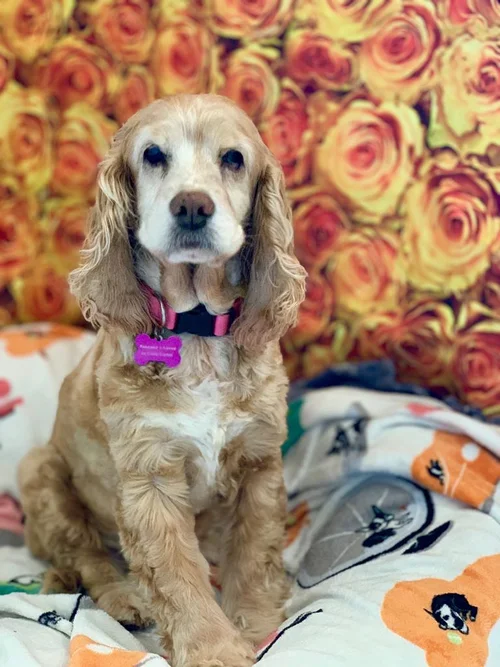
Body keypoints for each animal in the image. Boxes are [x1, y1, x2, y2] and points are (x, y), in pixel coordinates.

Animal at [18, 95, 306, 667]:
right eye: (153, 155)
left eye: (233, 159)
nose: (192, 206)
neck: (196, 329)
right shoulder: (148, 477)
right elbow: (176, 573)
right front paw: (214, 648)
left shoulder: (260, 461)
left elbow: (254, 548)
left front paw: (256, 623)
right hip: (41, 473)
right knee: (86, 556)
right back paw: (126, 600)